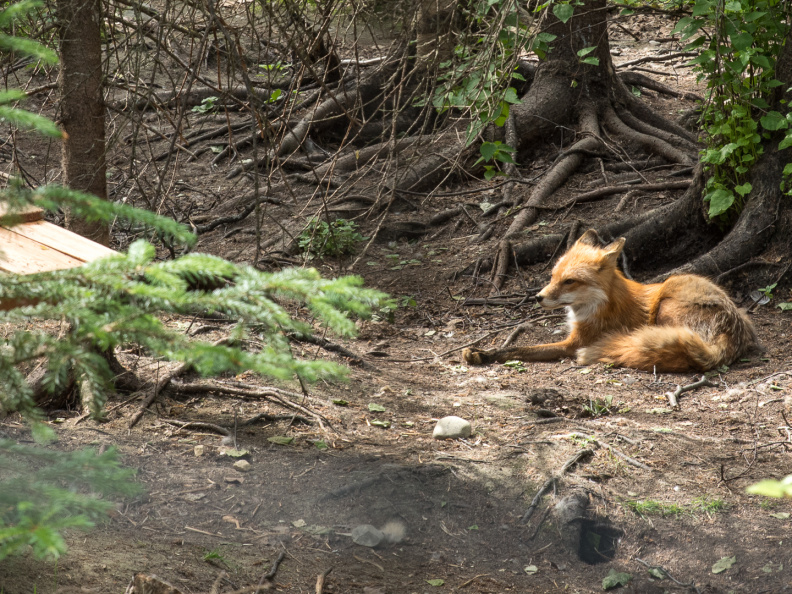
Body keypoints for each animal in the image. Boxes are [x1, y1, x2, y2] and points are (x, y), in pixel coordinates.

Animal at [462, 229, 759, 373]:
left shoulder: (575, 343)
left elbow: (519, 349)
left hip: (669, 300)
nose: (538, 297)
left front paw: (484, 354)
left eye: (569, 281)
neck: (598, 304)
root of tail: (734, 329)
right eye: (553, 276)